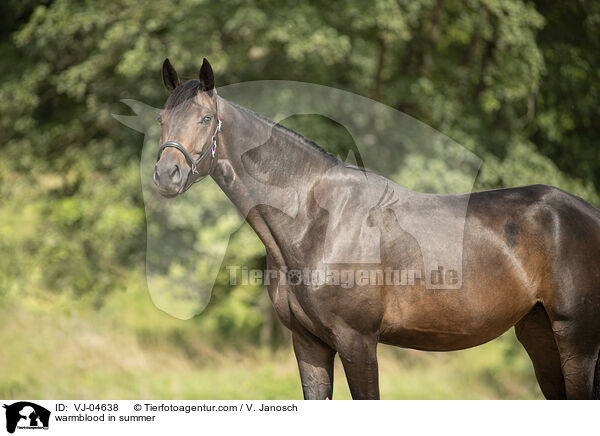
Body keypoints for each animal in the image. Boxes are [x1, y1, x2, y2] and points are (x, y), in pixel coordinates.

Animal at [152, 57, 600, 398]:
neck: (316, 222)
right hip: (539, 336)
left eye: (205, 118)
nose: (166, 175)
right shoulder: (308, 345)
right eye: (162, 119)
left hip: (576, 342)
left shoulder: (358, 342)